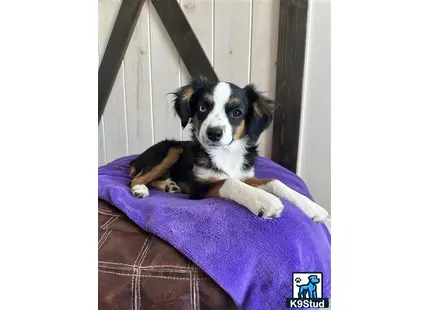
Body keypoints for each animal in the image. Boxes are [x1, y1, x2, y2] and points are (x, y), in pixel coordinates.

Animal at [129, 76, 328, 222]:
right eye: (202, 108)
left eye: (236, 113)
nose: (213, 133)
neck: (227, 153)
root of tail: (136, 160)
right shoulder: (199, 187)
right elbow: (228, 182)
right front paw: (264, 200)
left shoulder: (246, 177)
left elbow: (275, 181)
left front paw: (313, 208)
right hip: (173, 149)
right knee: (135, 178)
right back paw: (140, 189)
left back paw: (169, 185)